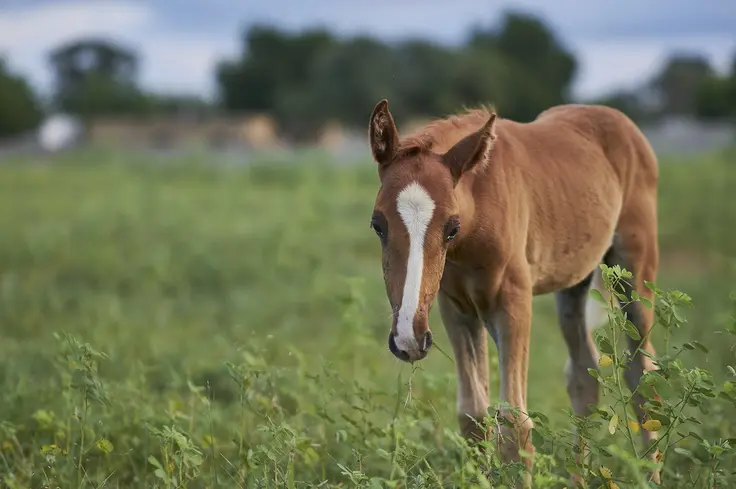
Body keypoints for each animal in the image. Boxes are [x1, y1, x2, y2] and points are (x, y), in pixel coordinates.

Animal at [366, 99, 661, 485]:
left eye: (451, 227)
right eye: (377, 224)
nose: (408, 339)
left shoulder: (513, 304)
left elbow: (513, 422)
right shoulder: (455, 308)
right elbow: (473, 414)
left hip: (635, 273)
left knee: (642, 371)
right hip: (574, 283)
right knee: (584, 373)